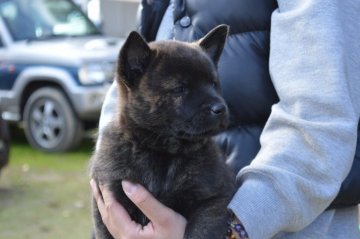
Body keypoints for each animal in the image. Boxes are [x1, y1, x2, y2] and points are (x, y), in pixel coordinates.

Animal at [90, 24, 236, 239]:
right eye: (180, 89)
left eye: (213, 84)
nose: (221, 109)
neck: (161, 152)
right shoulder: (107, 208)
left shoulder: (214, 199)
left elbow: (199, 232)